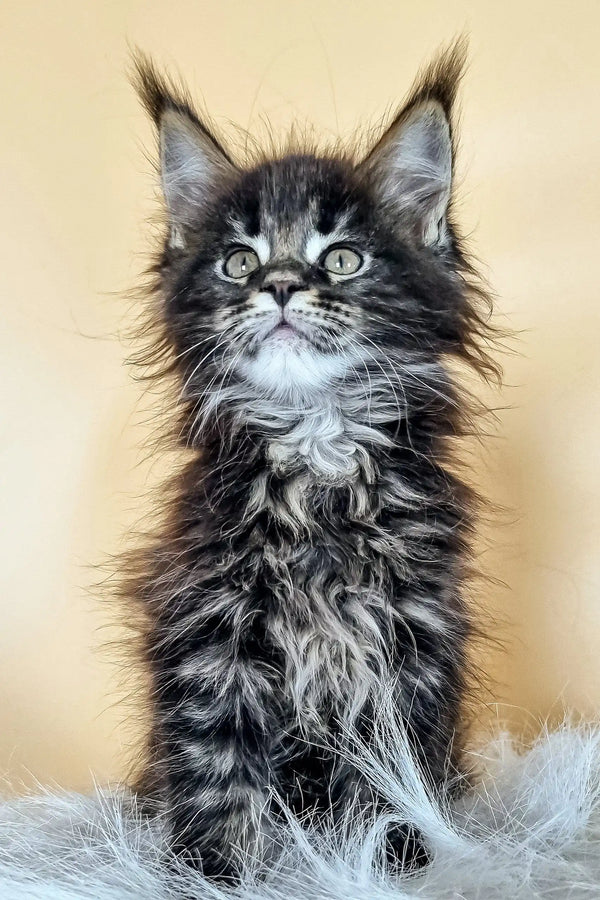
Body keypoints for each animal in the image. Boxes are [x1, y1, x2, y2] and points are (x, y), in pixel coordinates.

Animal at [130, 45, 496, 884]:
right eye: (238, 261)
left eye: (344, 257)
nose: (281, 285)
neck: (316, 441)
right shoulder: (210, 632)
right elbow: (214, 768)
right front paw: (212, 874)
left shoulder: (409, 634)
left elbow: (396, 772)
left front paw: (387, 859)